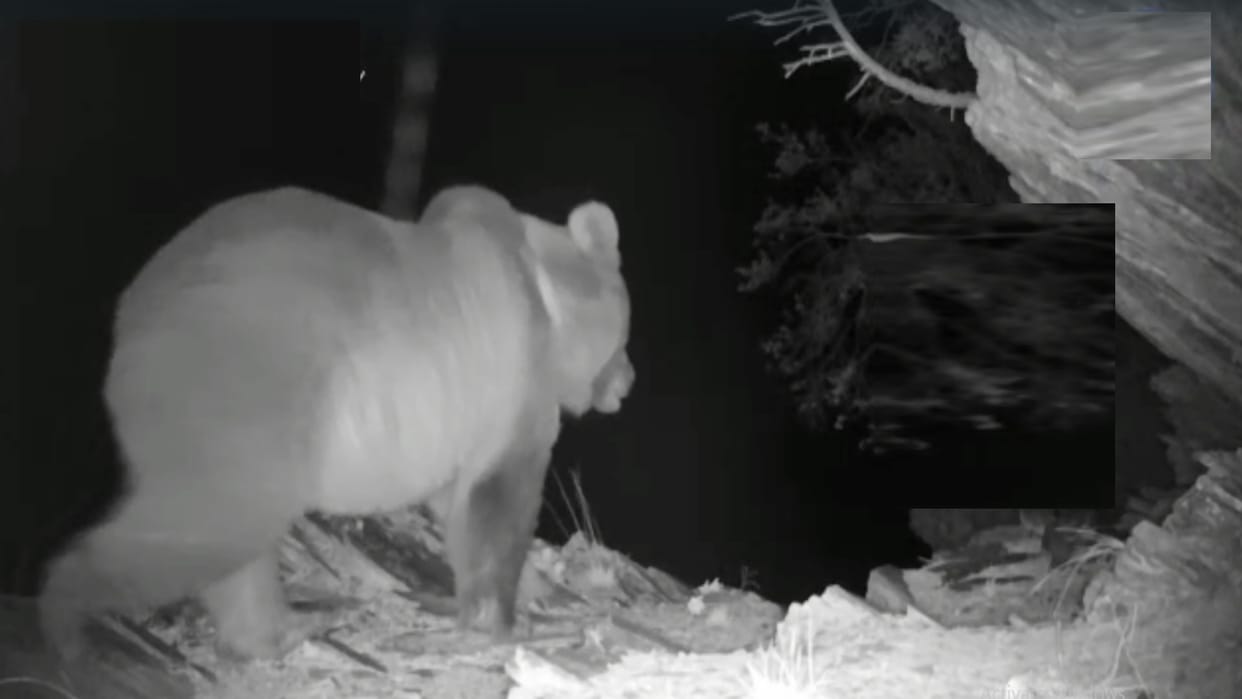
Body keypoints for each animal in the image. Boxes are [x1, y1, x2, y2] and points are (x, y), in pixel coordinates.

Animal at [38, 185, 634, 662]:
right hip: (246, 378)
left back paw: (283, 628)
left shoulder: (456, 415)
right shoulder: (510, 371)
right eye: (628, 331)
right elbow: (502, 493)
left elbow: (458, 504)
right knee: (205, 524)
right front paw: (503, 622)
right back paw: (64, 625)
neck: (547, 298)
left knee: (236, 545)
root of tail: (125, 323)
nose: (628, 381)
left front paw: (536, 589)